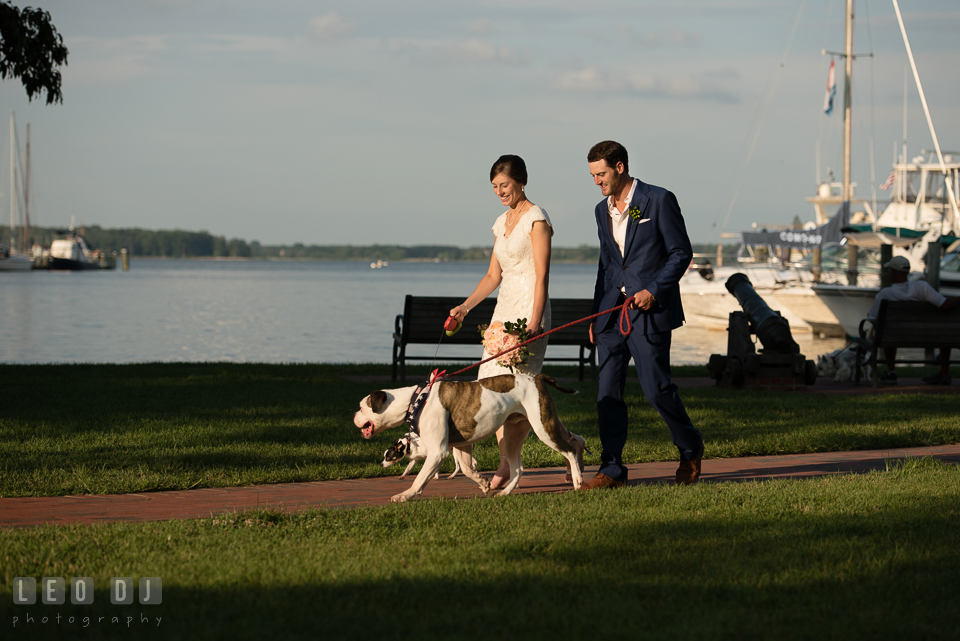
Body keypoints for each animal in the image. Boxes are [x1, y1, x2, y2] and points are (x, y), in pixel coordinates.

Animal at [354, 372, 584, 502]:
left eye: (361, 407)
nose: (354, 415)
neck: (415, 400)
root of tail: (535, 378)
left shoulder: (438, 452)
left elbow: (420, 478)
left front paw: (406, 495)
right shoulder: (461, 446)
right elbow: (466, 468)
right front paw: (483, 483)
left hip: (544, 428)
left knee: (570, 450)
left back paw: (578, 480)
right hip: (510, 437)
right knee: (517, 468)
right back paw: (505, 493)